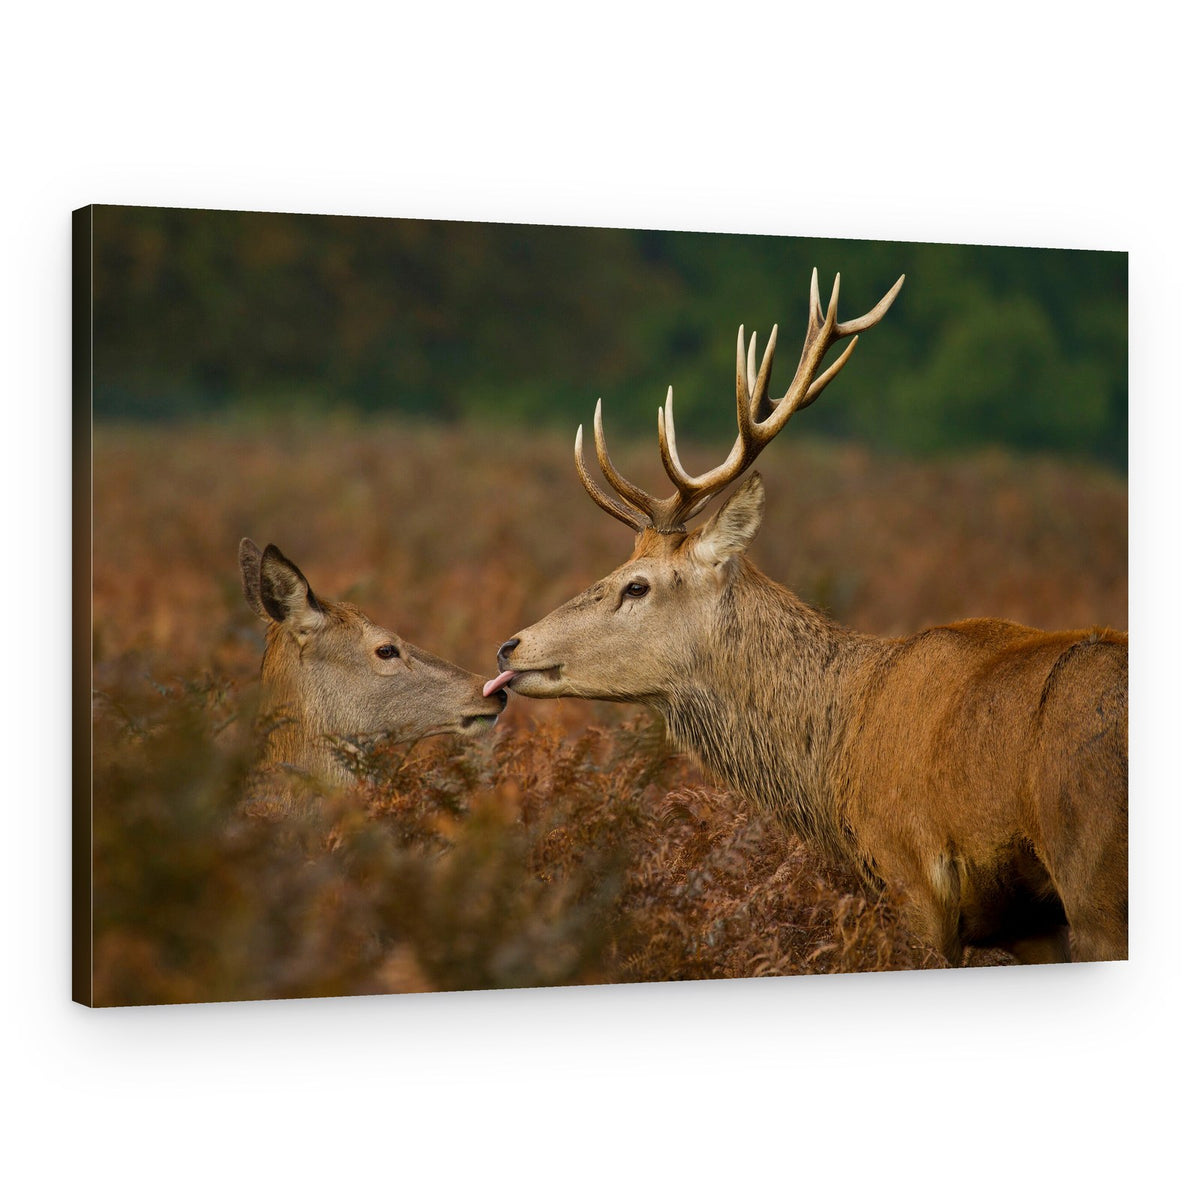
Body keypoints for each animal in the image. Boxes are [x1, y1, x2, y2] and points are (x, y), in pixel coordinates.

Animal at [485, 271, 1128, 966]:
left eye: (637, 586)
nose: (509, 646)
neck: (838, 754)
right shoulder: (1030, 927)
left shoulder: (912, 877)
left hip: (1093, 872)